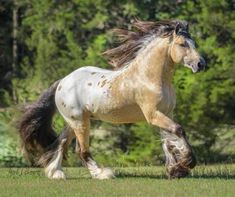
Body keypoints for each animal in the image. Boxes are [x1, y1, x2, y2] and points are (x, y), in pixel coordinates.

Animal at [17, 19, 206, 179]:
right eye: (182, 44)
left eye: (194, 44)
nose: (201, 64)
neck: (149, 77)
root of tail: (62, 82)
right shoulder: (153, 115)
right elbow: (178, 131)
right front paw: (188, 163)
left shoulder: (166, 113)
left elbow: (168, 140)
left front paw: (175, 170)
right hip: (80, 122)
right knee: (81, 150)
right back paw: (102, 174)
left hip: (74, 122)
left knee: (61, 143)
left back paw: (56, 173)